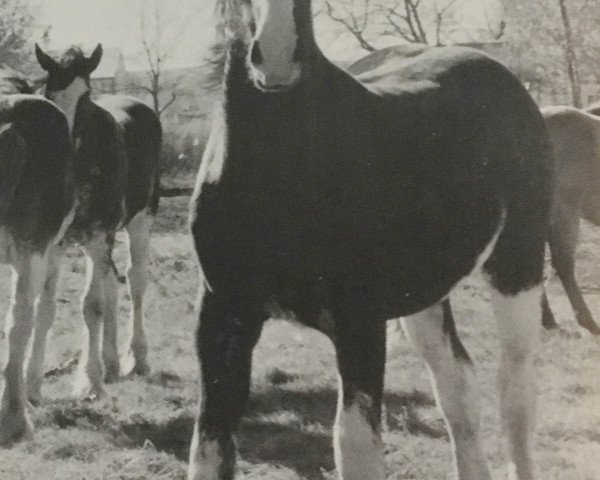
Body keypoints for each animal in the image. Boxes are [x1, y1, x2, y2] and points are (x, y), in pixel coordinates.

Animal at [33, 45, 162, 404]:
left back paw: (137, 359)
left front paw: (89, 382)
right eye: (48, 95)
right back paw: (111, 363)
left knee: (134, 281)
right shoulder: (56, 243)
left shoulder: (98, 235)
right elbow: (45, 306)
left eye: (85, 99)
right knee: (111, 282)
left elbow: (91, 305)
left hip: (139, 221)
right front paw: (31, 387)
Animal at [190, 0, 556, 480]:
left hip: (517, 267)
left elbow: (355, 444)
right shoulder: (222, 313)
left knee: (516, 388)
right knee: (457, 385)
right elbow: (210, 443)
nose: (277, 56)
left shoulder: (359, 320)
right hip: (424, 296)